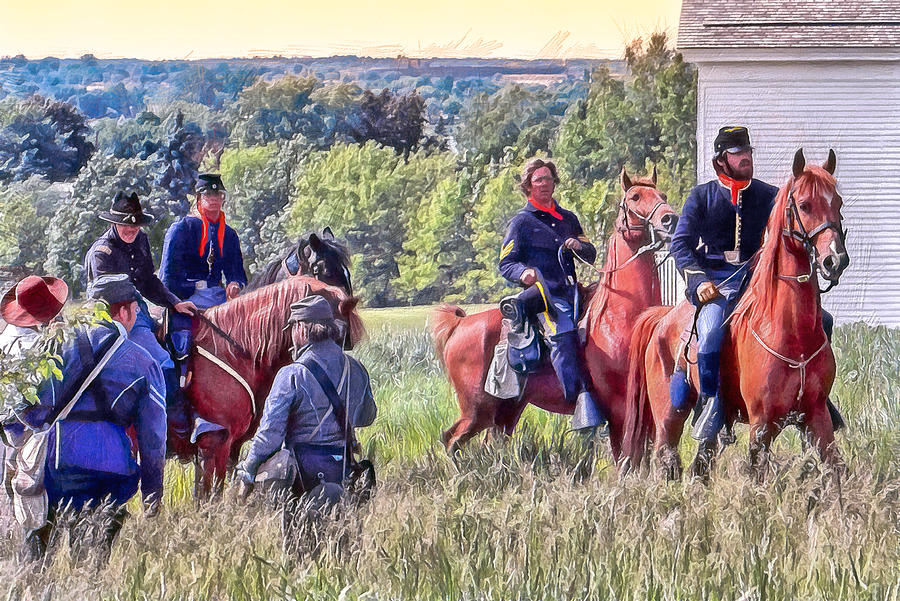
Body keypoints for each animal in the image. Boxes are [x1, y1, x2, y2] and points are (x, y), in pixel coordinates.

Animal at [432, 166, 680, 458]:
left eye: (662, 195)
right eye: (635, 197)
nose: (670, 220)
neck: (619, 316)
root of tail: (459, 326)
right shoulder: (617, 409)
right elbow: (623, 455)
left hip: (507, 409)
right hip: (476, 408)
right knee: (451, 440)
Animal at [624, 149, 848, 478]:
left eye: (838, 203)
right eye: (805, 204)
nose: (835, 260)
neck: (789, 331)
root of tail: (661, 319)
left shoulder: (816, 416)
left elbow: (835, 472)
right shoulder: (762, 425)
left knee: (700, 464)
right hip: (669, 416)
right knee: (669, 461)